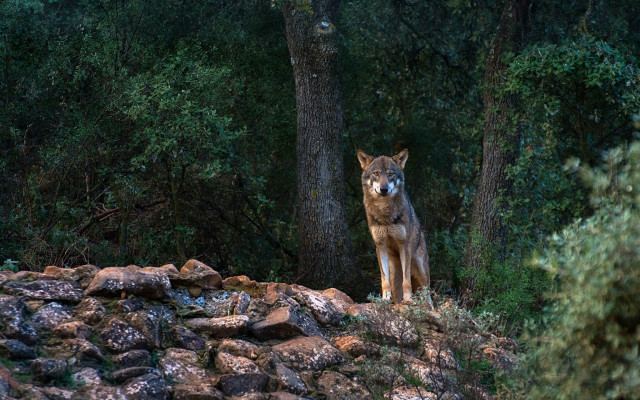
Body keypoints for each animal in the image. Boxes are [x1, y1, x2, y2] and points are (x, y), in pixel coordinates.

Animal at [357, 149, 433, 306]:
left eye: (391, 174)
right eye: (376, 173)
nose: (384, 189)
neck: (385, 214)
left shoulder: (404, 245)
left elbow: (407, 282)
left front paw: (408, 300)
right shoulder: (380, 246)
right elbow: (384, 281)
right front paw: (384, 300)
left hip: (422, 273)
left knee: (428, 295)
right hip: (394, 274)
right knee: (396, 290)